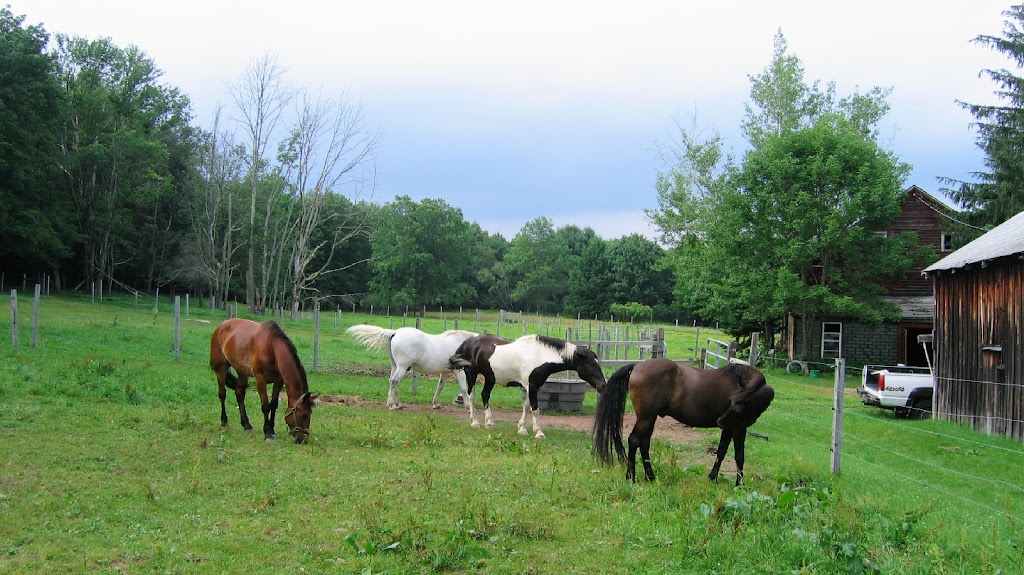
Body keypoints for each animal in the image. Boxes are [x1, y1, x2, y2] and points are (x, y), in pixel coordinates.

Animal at [346, 325, 477, 409]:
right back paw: (391, 405)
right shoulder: (459, 371)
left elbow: (440, 386)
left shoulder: (445, 371)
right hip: (402, 367)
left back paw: (398, 404)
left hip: (395, 366)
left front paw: (436, 404)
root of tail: (395, 332)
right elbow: (463, 388)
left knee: (392, 381)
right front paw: (468, 406)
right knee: (395, 381)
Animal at [450, 333, 606, 435]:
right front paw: (538, 432)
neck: (540, 355)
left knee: (485, 395)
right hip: (471, 374)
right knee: (471, 396)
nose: (603, 385)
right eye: (590, 365)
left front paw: (522, 428)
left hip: (490, 377)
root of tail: (468, 341)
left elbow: (526, 406)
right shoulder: (531, 386)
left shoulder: (532, 386)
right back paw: (475, 422)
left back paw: (489, 422)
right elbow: (535, 408)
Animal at [593, 358, 774, 482]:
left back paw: (649, 476)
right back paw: (632, 477)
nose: (720, 421)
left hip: (650, 418)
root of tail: (636, 366)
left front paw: (712, 478)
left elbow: (721, 451)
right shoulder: (738, 427)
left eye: (739, 403)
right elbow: (739, 455)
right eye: (734, 401)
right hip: (646, 417)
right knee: (634, 440)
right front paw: (739, 484)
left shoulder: (729, 428)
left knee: (643, 443)